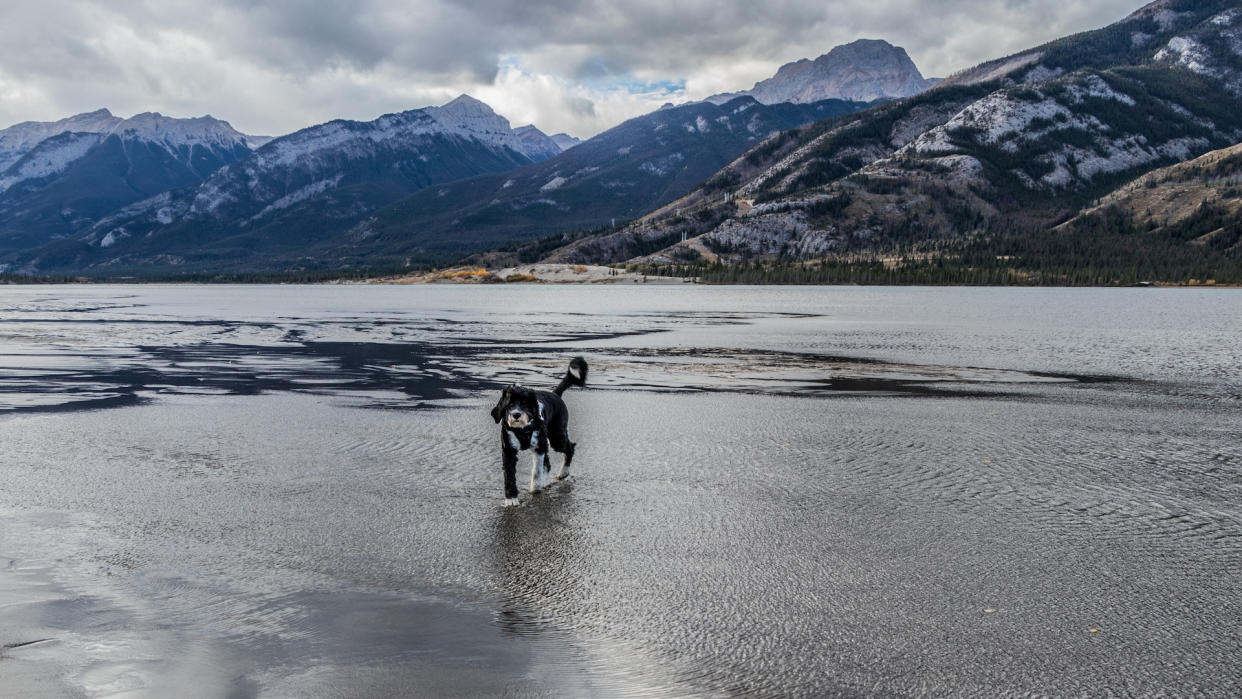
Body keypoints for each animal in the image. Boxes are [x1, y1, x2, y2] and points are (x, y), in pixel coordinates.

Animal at [486, 357, 588, 506]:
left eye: (525, 403)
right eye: (509, 404)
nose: (516, 414)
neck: (522, 430)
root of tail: (555, 394)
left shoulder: (539, 447)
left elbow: (536, 471)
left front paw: (535, 488)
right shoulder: (509, 450)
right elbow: (509, 475)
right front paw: (511, 498)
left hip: (557, 436)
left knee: (570, 448)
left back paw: (563, 472)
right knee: (548, 463)